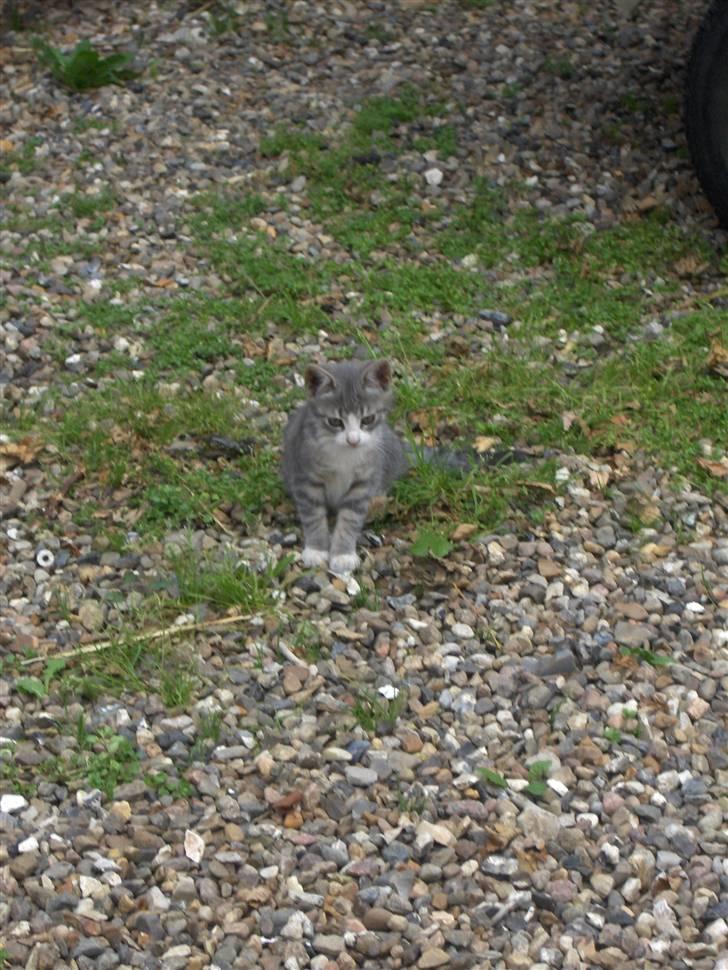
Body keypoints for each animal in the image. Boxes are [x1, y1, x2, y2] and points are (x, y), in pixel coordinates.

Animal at [282, 362, 406, 576]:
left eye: (368, 419)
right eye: (335, 421)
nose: (353, 440)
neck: (345, 456)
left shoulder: (364, 482)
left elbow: (350, 518)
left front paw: (343, 554)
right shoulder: (305, 477)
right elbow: (313, 515)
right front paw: (316, 549)